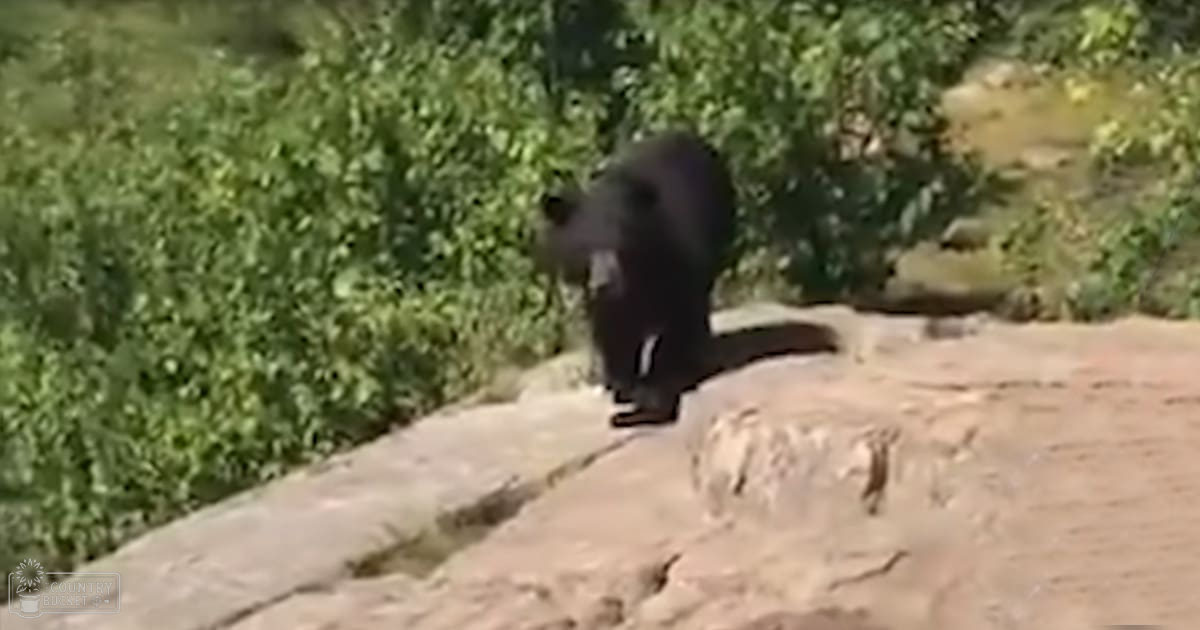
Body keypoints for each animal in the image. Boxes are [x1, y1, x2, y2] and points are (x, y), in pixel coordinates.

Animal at [535, 130, 736, 428]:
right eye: (583, 247)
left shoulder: (680, 262)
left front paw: (656, 385)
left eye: (621, 241)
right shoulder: (599, 298)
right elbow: (613, 331)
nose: (604, 283)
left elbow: (678, 317)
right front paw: (622, 385)